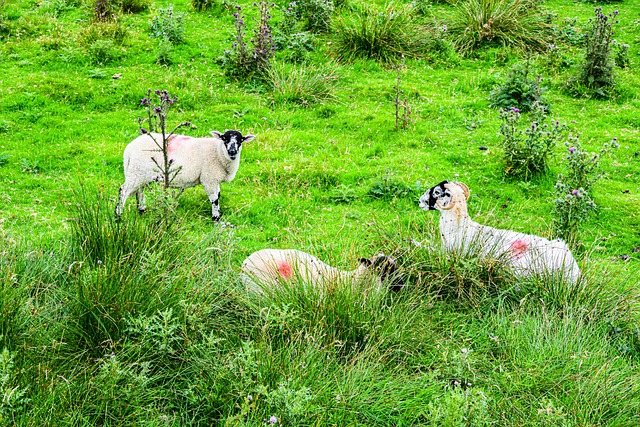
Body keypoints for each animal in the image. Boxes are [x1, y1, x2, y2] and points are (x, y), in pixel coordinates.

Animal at [114, 130, 254, 221]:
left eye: (240, 140)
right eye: (225, 138)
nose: (232, 151)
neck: (218, 152)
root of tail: (128, 150)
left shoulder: (214, 180)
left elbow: (218, 196)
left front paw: (218, 215)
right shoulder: (209, 178)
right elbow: (214, 199)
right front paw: (215, 218)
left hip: (140, 173)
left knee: (139, 190)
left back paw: (142, 210)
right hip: (137, 171)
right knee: (123, 191)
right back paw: (118, 215)